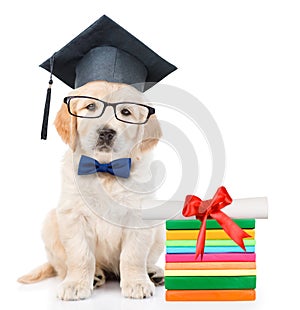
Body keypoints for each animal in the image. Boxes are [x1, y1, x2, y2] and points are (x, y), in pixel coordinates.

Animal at [18, 80, 164, 300]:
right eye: (91, 107)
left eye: (126, 112)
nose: (106, 132)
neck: (105, 170)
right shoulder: (74, 215)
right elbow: (81, 255)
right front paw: (75, 284)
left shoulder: (138, 216)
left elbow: (133, 255)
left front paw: (137, 282)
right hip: (51, 222)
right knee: (61, 267)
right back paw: (94, 276)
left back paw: (153, 272)